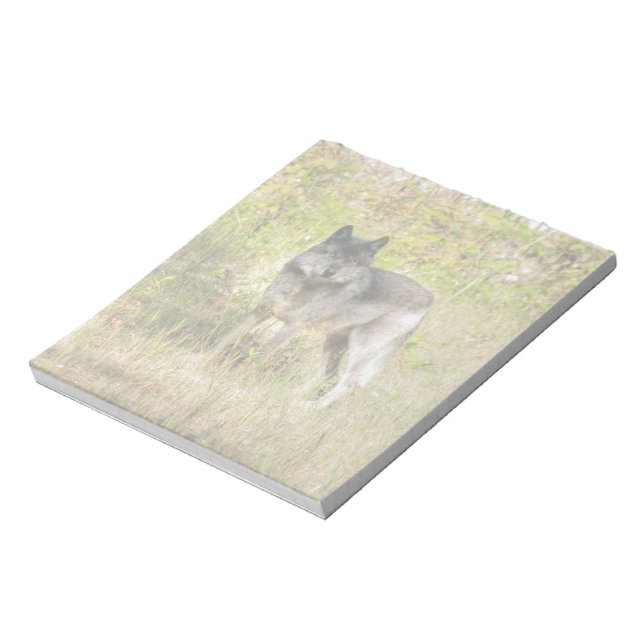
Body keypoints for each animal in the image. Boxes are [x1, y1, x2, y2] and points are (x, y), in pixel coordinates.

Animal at [214, 225, 433, 408]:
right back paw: (288, 397)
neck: (308, 285)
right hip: (334, 342)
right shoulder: (262, 310)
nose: (330, 272)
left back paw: (309, 407)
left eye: (351, 261)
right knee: (326, 374)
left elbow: (259, 355)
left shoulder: (292, 326)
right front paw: (207, 361)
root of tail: (429, 299)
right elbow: (226, 339)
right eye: (332, 254)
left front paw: (231, 379)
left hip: (360, 348)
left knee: (347, 382)